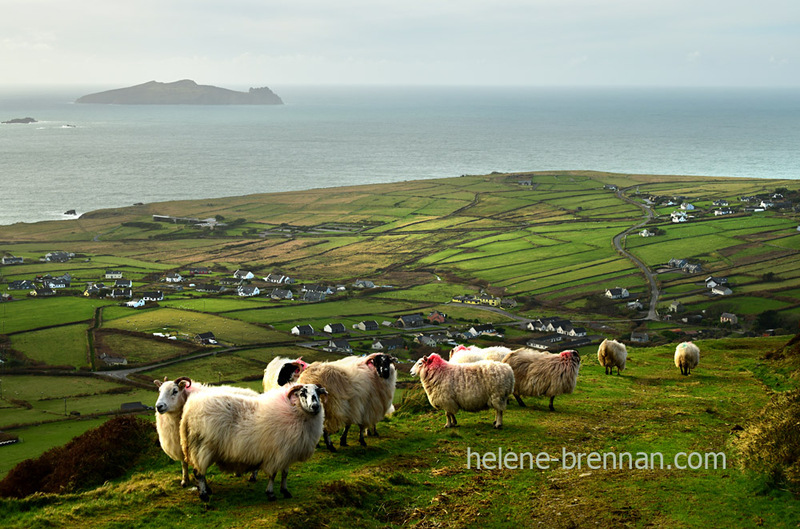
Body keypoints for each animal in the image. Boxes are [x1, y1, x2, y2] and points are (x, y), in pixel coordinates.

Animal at [181, 382, 328, 502]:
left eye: (318, 392)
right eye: (302, 393)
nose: (315, 406)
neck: (294, 410)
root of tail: (189, 410)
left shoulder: (287, 453)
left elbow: (285, 474)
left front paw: (285, 491)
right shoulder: (276, 453)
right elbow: (273, 474)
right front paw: (271, 494)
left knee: (200, 471)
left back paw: (207, 490)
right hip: (201, 447)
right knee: (199, 473)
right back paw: (204, 495)